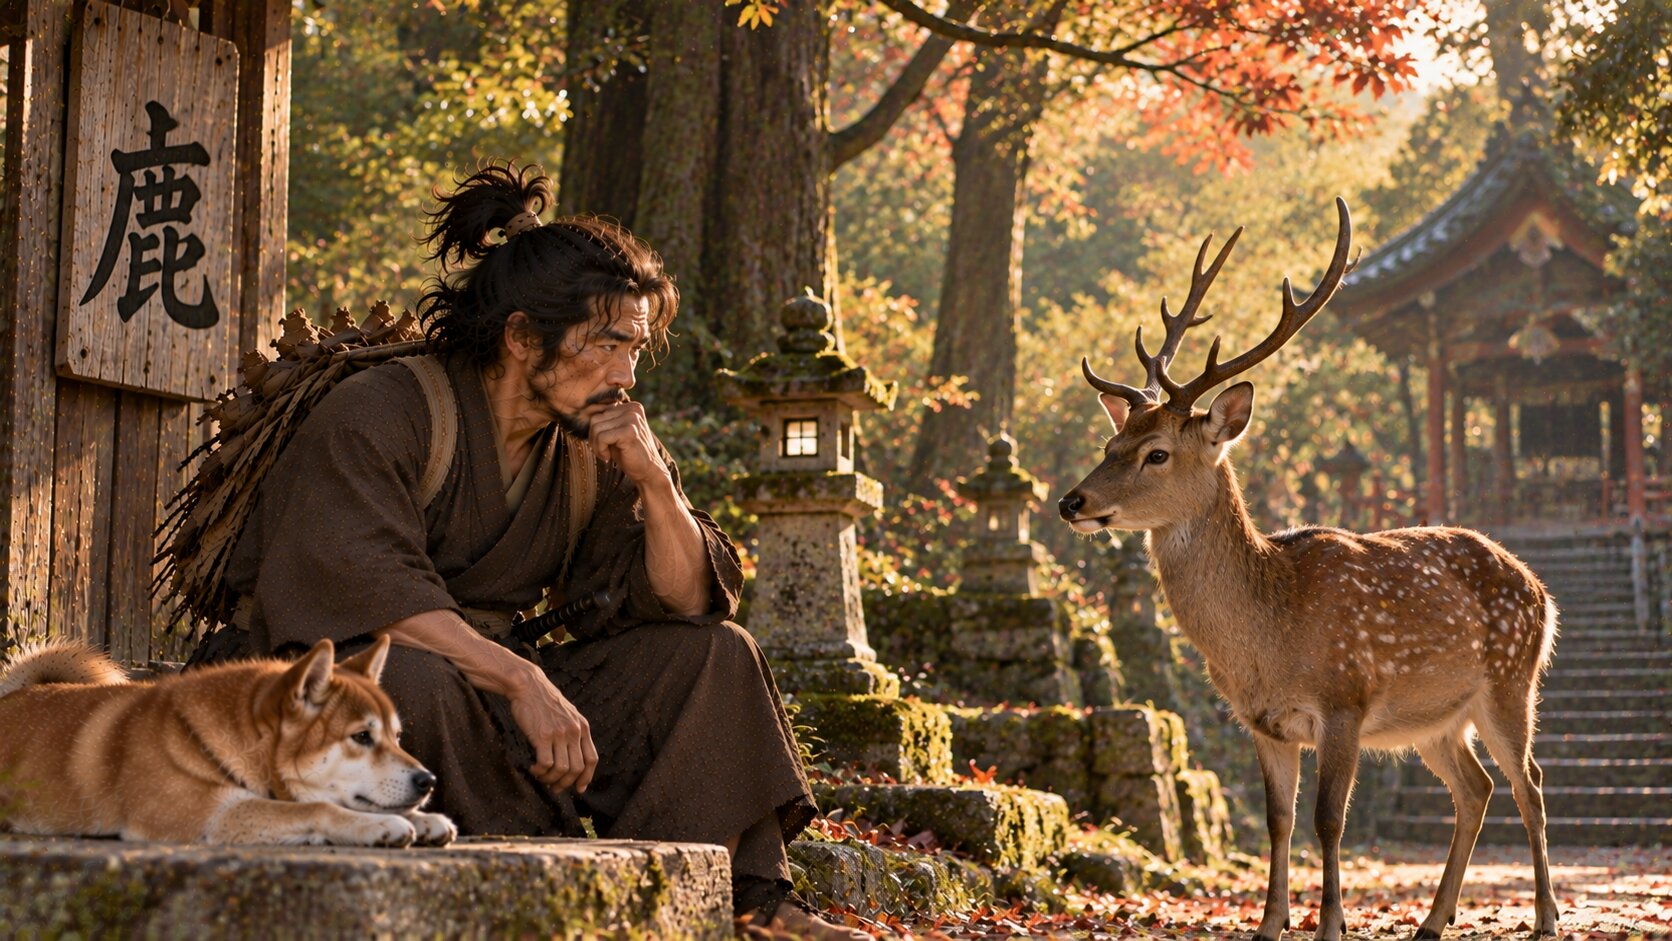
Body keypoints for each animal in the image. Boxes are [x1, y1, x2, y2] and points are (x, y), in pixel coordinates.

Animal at [1058, 198, 1559, 940]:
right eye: (1109, 442)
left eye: (1156, 453)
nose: (1072, 501)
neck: (1268, 637)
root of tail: (1541, 589)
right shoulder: (1262, 721)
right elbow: (1277, 820)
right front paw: (1269, 924)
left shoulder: (1344, 699)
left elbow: (1328, 820)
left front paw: (1330, 924)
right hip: (1437, 718)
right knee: (1478, 787)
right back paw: (1433, 920)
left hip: (1509, 681)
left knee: (1531, 782)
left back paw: (1548, 915)